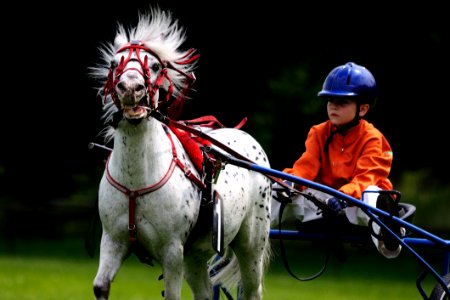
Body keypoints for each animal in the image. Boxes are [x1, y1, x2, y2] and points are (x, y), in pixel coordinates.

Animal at [88, 7, 270, 300]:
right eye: (115, 64)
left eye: (154, 66)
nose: (130, 88)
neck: (136, 179)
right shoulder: (113, 240)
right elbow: (101, 285)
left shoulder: (172, 250)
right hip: (195, 256)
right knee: (205, 292)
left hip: (251, 245)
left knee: (252, 289)